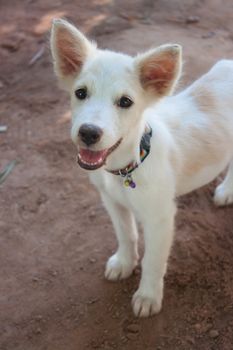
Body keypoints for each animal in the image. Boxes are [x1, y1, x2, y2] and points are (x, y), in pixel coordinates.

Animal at [50, 19, 233, 320]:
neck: (126, 168)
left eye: (125, 102)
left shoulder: (160, 218)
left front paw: (147, 296)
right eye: (80, 93)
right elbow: (126, 234)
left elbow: (153, 261)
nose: (88, 133)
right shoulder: (111, 201)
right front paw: (124, 263)